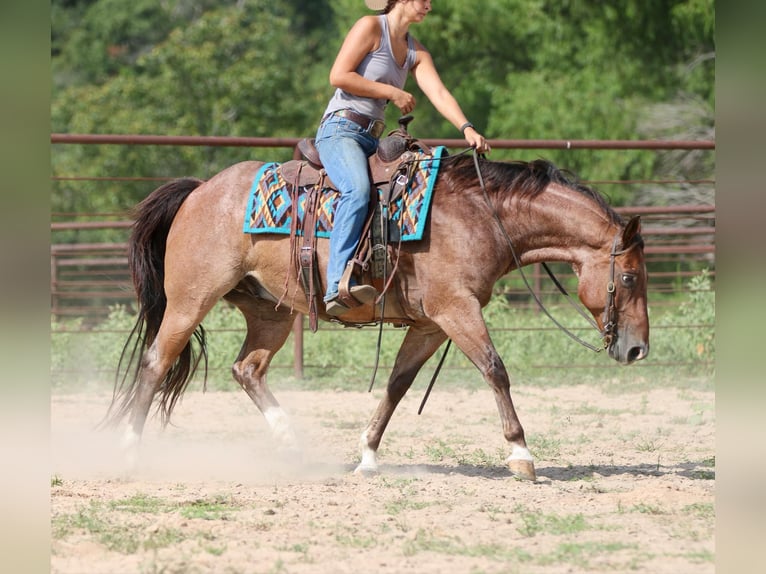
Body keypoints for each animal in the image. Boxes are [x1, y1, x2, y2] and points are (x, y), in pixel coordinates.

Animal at [106, 151, 649, 482]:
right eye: (628, 279)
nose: (638, 349)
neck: (480, 216)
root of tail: (200, 191)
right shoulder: (456, 309)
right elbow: (495, 369)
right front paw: (521, 455)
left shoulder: (430, 324)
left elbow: (397, 385)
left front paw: (367, 457)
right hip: (190, 300)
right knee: (155, 363)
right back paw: (129, 454)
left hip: (270, 312)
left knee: (247, 369)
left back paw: (290, 444)